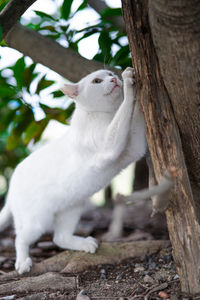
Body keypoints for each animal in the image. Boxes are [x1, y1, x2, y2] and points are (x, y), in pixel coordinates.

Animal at [0, 68, 146, 274]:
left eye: (109, 73)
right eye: (97, 81)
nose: (113, 79)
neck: (107, 114)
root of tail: (11, 186)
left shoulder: (135, 147)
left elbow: (135, 116)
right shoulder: (110, 146)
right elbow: (126, 111)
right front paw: (129, 81)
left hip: (71, 209)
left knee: (59, 238)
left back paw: (85, 244)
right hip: (37, 221)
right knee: (19, 238)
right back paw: (22, 263)